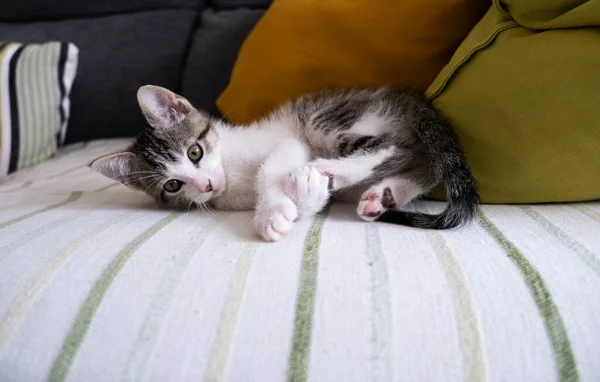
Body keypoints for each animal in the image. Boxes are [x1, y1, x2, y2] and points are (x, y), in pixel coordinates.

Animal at [91, 86, 480, 242]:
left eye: (194, 153)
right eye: (172, 185)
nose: (205, 186)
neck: (231, 173)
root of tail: (413, 99)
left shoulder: (290, 142)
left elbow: (271, 172)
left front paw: (271, 214)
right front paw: (300, 199)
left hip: (326, 120)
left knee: (397, 150)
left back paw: (335, 170)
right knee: (426, 163)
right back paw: (382, 196)